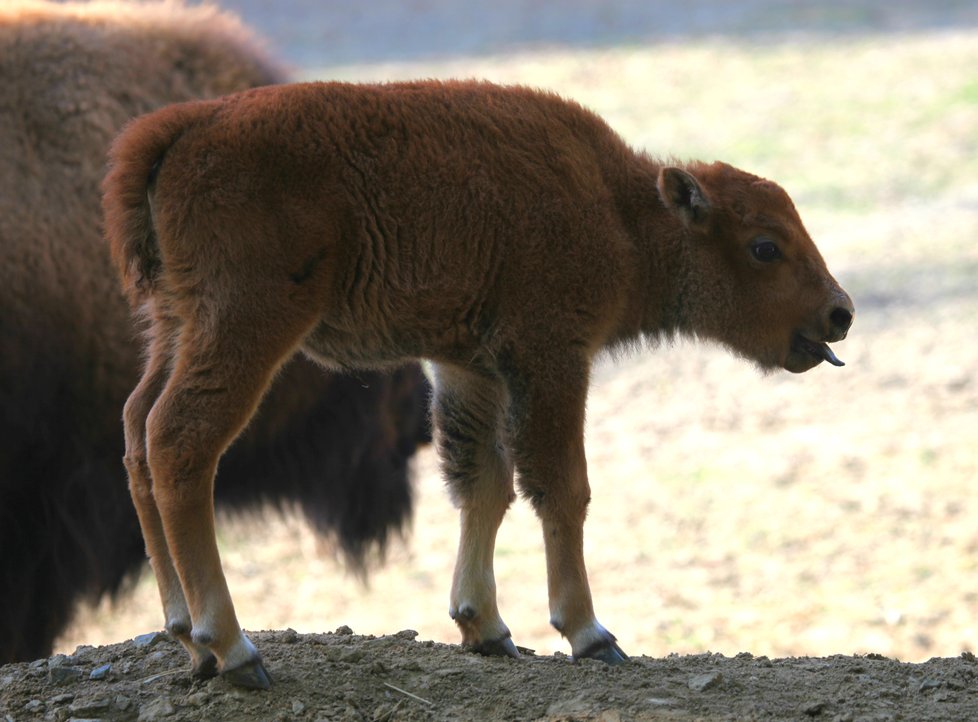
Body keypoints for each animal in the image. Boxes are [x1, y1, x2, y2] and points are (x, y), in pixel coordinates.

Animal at [103, 79, 852, 688]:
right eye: (764, 246)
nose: (839, 313)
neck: (621, 212)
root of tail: (184, 127)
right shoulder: (551, 358)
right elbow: (562, 488)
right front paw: (590, 634)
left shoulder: (472, 369)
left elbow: (484, 485)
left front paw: (485, 627)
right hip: (245, 326)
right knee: (180, 442)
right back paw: (234, 651)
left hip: (174, 324)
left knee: (138, 433)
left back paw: (186, 638)